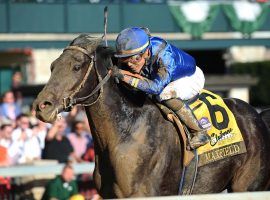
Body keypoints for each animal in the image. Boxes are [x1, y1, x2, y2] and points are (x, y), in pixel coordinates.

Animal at [33, 34, 270, 198]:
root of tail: (257, 116)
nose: (41, 106)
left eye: (76, 66)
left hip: (247, 185)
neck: (126, 131)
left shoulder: (141, 193)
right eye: (53, 66)